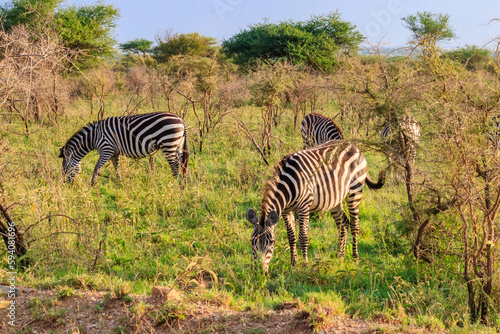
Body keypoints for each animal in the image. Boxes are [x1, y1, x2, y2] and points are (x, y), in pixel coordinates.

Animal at [59, 112, 188, 185]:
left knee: (175, 165)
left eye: (64, 168)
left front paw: (92, 184)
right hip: (177, 145)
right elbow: (117, 168)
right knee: (183, 163)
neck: (94, 137)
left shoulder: (106, 149)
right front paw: (119, 182)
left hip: (168, 143)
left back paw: (174, 184)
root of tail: (181, 119)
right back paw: (184, 185)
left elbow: (96, 168)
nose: (65, 184)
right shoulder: (114, 153)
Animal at [246, 140, 386, 272]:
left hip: (355, 191)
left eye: (271, 242)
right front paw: (293, 263)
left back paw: (355, 257)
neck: (288, 186)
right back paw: (340, 255)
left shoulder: (304, 206)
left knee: (354, 225)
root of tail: (353, 145)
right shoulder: (286, 211)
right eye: (252, 241)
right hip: (335, 199)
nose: (260, 271)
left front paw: (304, 264)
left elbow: (303, 237)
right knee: (343, 223)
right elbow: (291, 237)